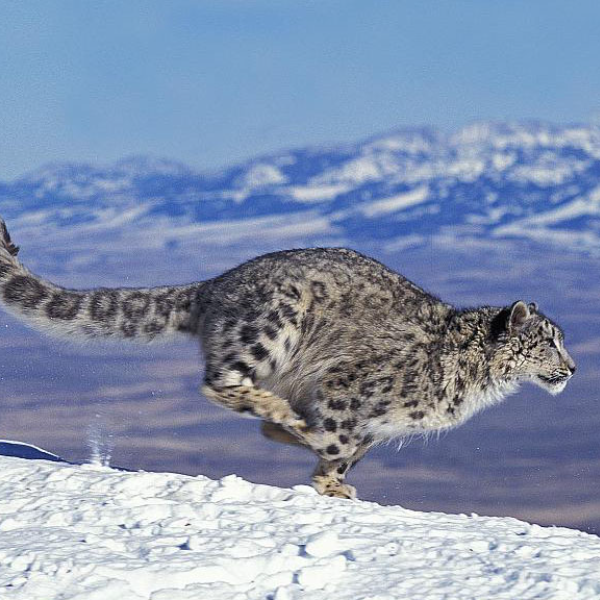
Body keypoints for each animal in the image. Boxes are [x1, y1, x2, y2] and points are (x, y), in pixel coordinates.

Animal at [0, 218, 576, 500]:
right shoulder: (348, 386)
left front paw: (326, 469)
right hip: (274, 323)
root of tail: (218, 283)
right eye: (549, 341)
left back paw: (284, 419)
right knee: (218, 381)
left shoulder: (376, 424)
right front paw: (329, 479)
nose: (572, 369)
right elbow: (338, 442)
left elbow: (352, 447)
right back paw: (280, 413)